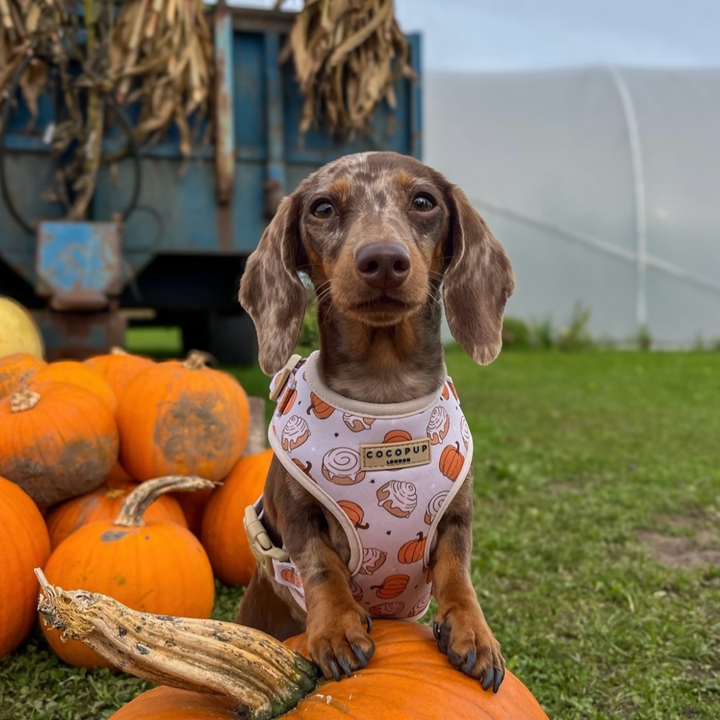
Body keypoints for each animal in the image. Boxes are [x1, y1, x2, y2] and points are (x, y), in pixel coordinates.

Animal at [239, 150, 516, 692]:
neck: (384, 392)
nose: (383, 260)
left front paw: (473, 630)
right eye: (323, 207)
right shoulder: (296, 513)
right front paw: (337, 628)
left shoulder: (457, 515)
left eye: (424, 201)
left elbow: (457, 570)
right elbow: (320, 564)